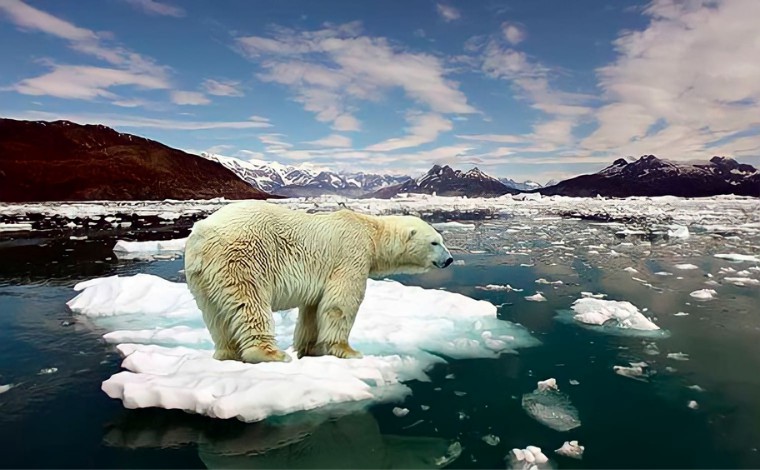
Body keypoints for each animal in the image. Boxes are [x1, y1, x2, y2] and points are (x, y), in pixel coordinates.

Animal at [184, 200, 454, 366]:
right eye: (435, 242)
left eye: (442, 240)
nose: (450, 259)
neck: (371, 232)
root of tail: (201, 234)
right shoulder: (351, 254)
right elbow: (341, 303)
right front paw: (348, 351)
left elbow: (313, 309)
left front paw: (310, 349)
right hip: (242, 258)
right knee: (249, 303)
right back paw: (270, 354)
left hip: (202, 276)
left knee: (215, 314)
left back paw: (226, 353)